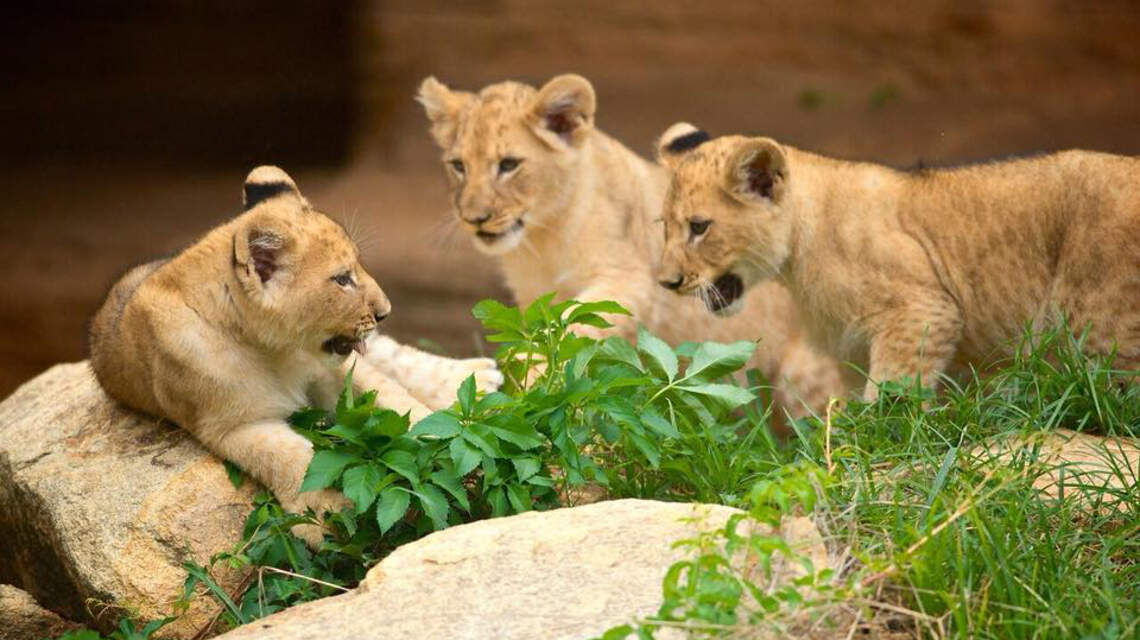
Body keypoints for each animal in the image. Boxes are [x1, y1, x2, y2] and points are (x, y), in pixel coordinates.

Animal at [89, 166, 501, 545]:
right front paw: (332, 515)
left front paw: (447, 440)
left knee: (393, 357)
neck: (277, 350)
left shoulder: (334, 371)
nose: (385, 311)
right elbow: (288, 459)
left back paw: (477, 380)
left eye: (357, 266)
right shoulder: (232, 423)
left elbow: (396, 401)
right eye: (341, 279)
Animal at [416, 74, 845, 418]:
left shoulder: (629, 279)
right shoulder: (533, 296)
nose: (474, 218)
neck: (542, 239)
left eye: (508, 164)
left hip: (806, 377)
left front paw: (526, 371)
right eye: (458, 166)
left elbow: (574, 321)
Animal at [654, 123, 1140, 399]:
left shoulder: (922, 312)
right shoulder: (850, 350)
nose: (666, 282)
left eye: (699, 227)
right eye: (664, 225)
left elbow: (890, 400)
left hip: (1097, 329)